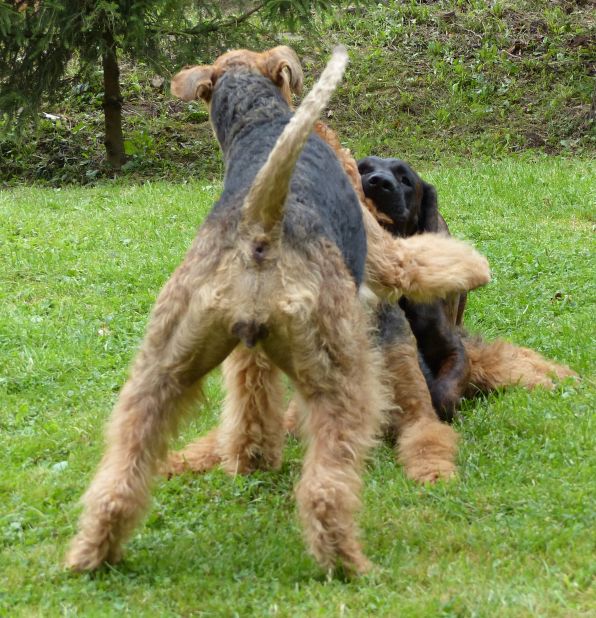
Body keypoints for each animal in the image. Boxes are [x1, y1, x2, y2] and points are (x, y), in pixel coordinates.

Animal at [65, 47, 490, 576]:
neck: (259, 125)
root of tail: (259, 224)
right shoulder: (383, 254)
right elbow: (423, 259)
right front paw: (476, 266)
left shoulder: (249, 352)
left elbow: (251, 400)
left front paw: (252, 459)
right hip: (339, 377)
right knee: (326, 486)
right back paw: (347, 561)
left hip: (160, 368)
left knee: (122, 467)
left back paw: (91, 552)